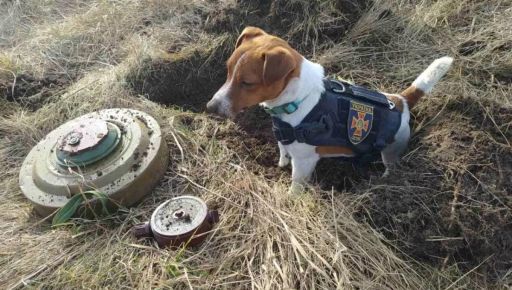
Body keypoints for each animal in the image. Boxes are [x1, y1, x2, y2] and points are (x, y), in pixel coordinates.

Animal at [206, 26, 454, 191]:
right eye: (228, 70)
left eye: (247, 83)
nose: (210, 107)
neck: (298, 100)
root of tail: (401, 100)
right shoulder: (284, 139)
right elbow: (283, 151)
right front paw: (280, 163)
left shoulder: (304, 162)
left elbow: (296, 184)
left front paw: (290, 197)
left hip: (392, 151)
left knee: (391, 166)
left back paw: (384, 180)